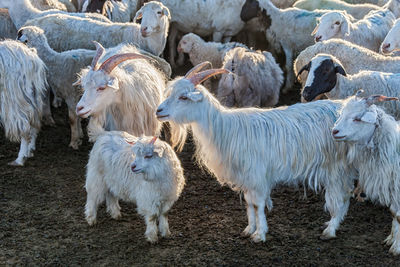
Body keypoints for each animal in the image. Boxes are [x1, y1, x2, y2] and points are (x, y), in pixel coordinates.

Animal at [155, 64, 354, 243]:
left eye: (183, 97)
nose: (159, 111)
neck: (224, 129)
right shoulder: (245, 176)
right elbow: (249, 202)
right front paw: (249, 229)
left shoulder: (257, 174)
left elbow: (258, 204)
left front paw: (260, 234)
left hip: (336, 165)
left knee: (340, 195)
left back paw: (330, 229)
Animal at [332, 91, 400, 255]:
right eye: (342, 114)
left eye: (357, 118)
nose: (334, 131)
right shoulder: (393, 189)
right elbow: (394, 213)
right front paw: (391, 240)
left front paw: (397, 247)